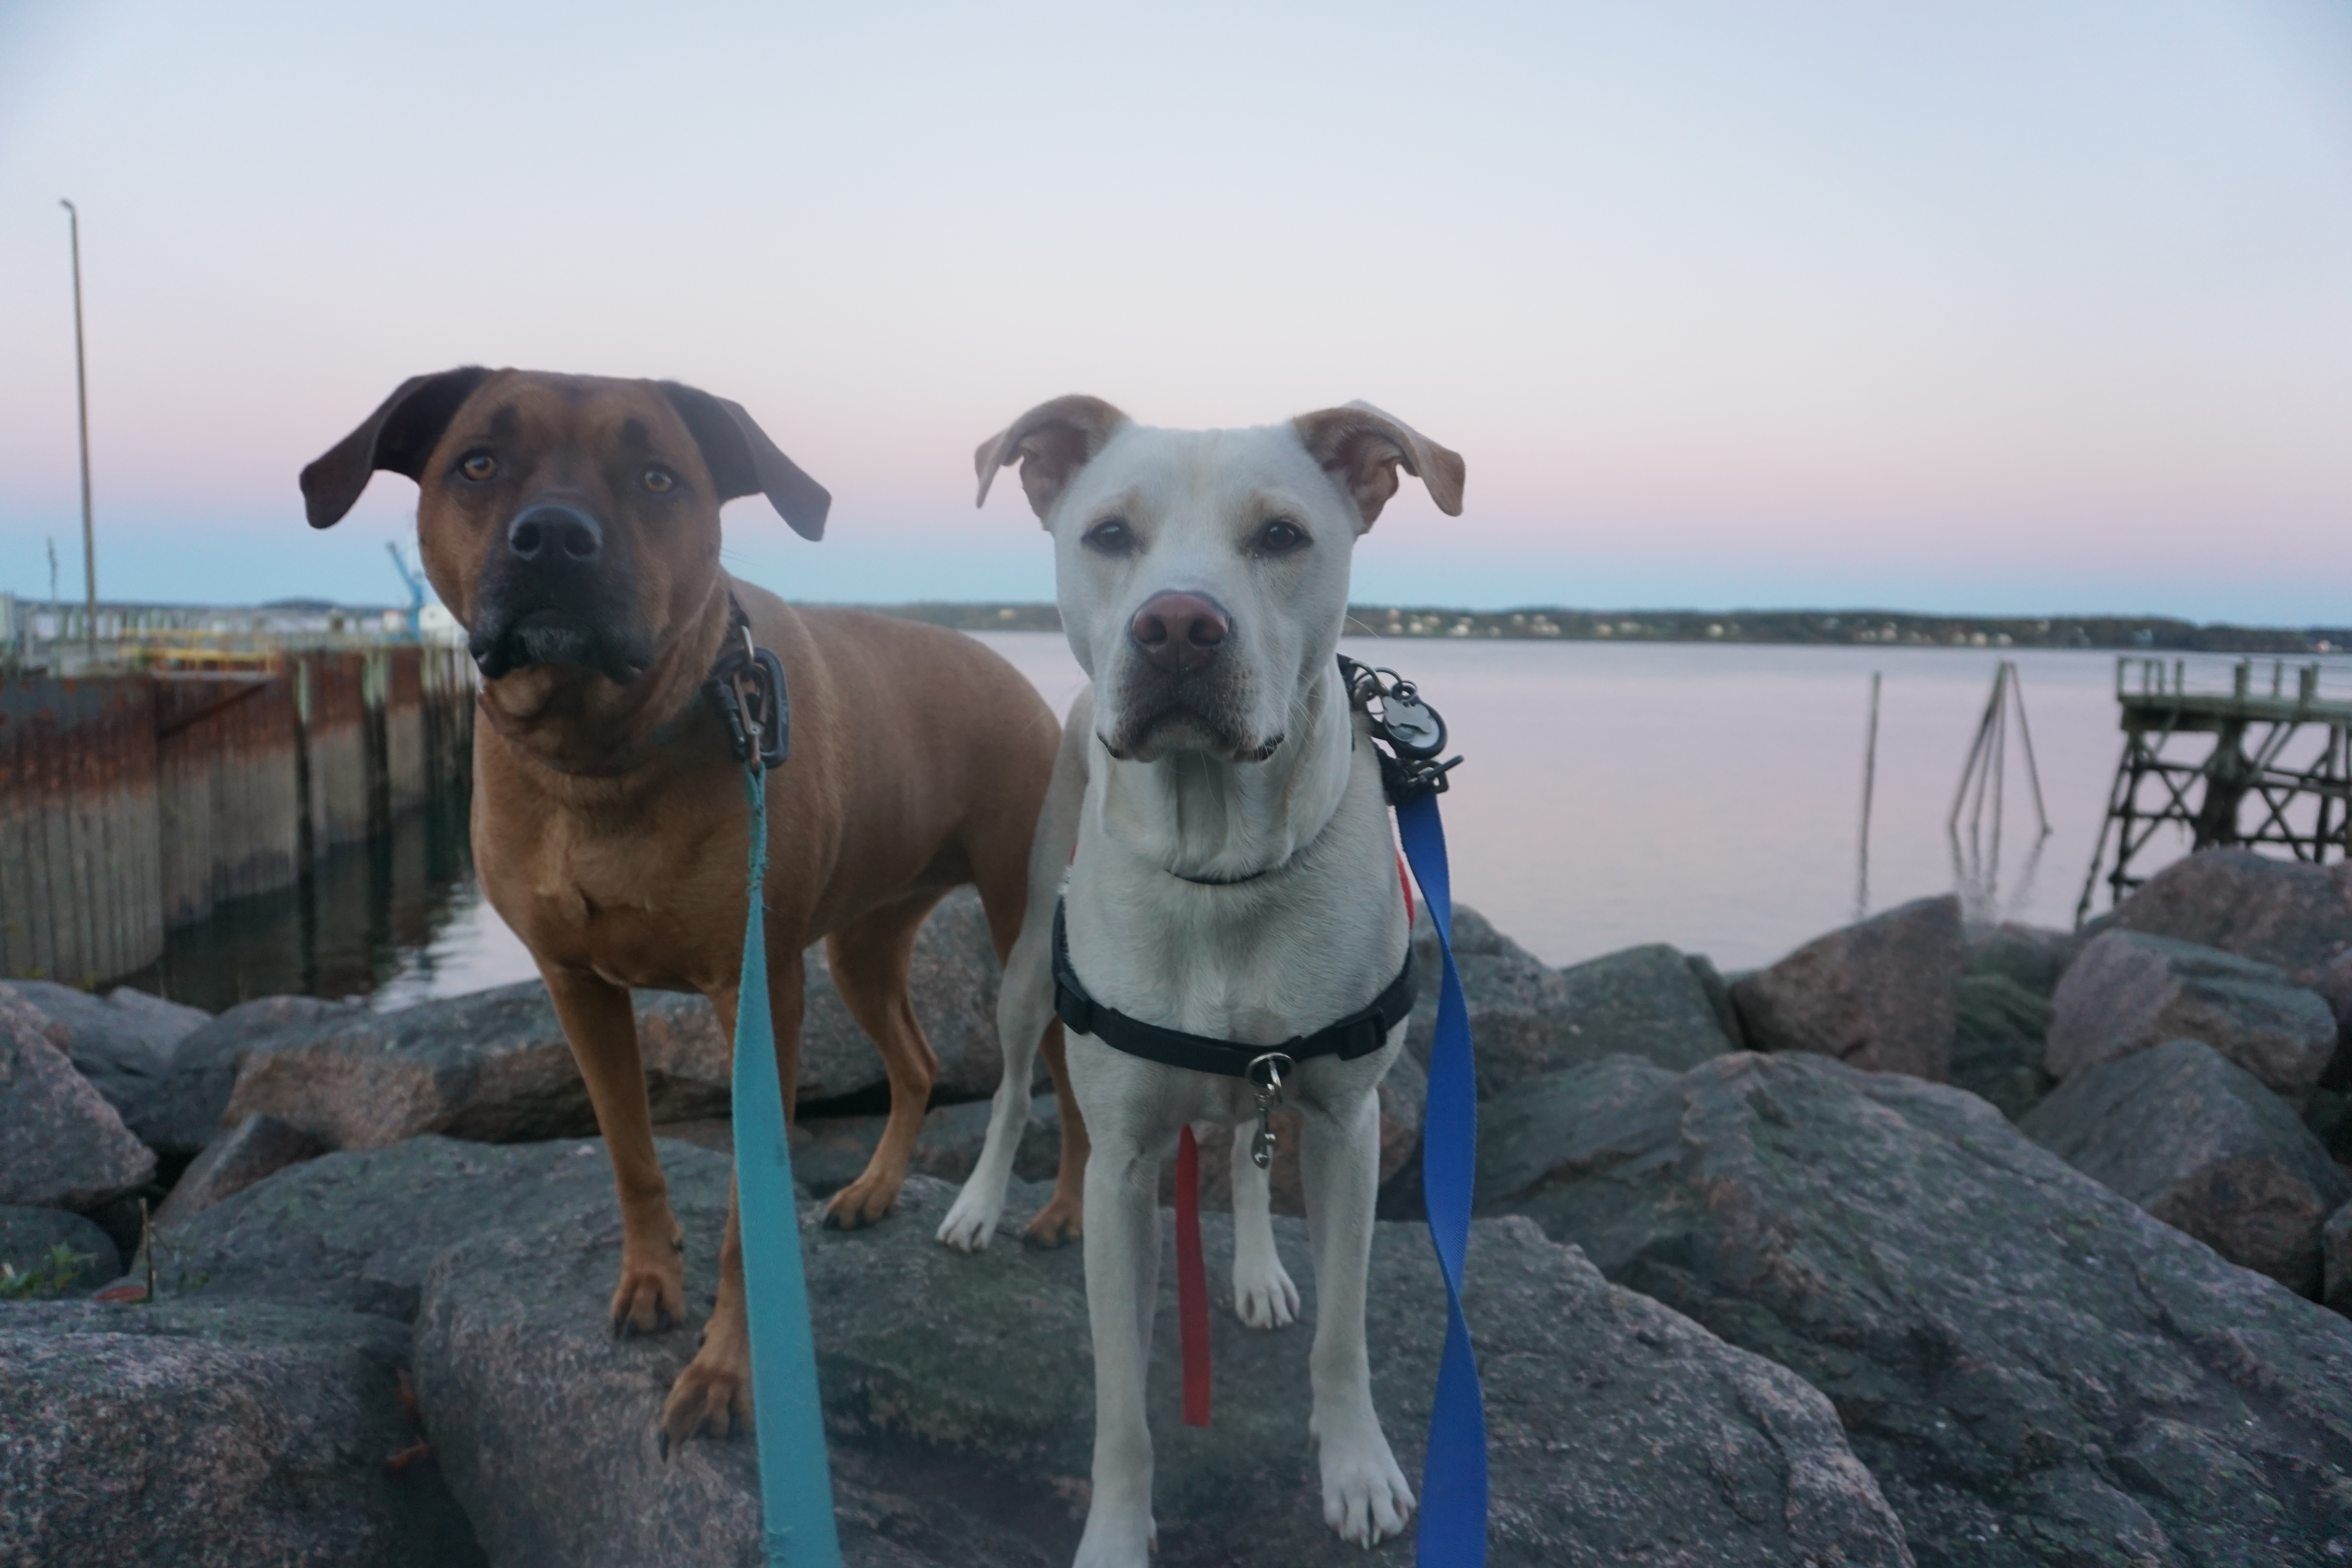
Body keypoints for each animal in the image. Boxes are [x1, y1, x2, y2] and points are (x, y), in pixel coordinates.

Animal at [300, 368, 1089, 1448]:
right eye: (478, 462)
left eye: (657, 476)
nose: (556, 536)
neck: (604, 756)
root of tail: (1015, 673)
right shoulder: (577, 986)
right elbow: (632, 1154)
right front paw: (647, 1282)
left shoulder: (758, 993)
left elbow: (749, 1219)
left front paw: (723, 1371)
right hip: (864, 947)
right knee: (921, 1064)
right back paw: (876, 1187)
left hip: (1023, 941)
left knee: (1069, 1090)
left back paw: (1064, 1214)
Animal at [939, 395, 1463, 1561]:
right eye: (1108, 534)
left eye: (1281, 535)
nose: (1177, 627)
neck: (1221, 857)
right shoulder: (1122, 1167)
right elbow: (1123, 1404)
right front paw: (1115, 1533)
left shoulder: (1350, 1126)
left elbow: (1345, 1331)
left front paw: (1356, 1468)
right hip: (1026, 968)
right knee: (1009, 1089)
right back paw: (978, 1204)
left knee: (1244, 1152)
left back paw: (1260, 1270)